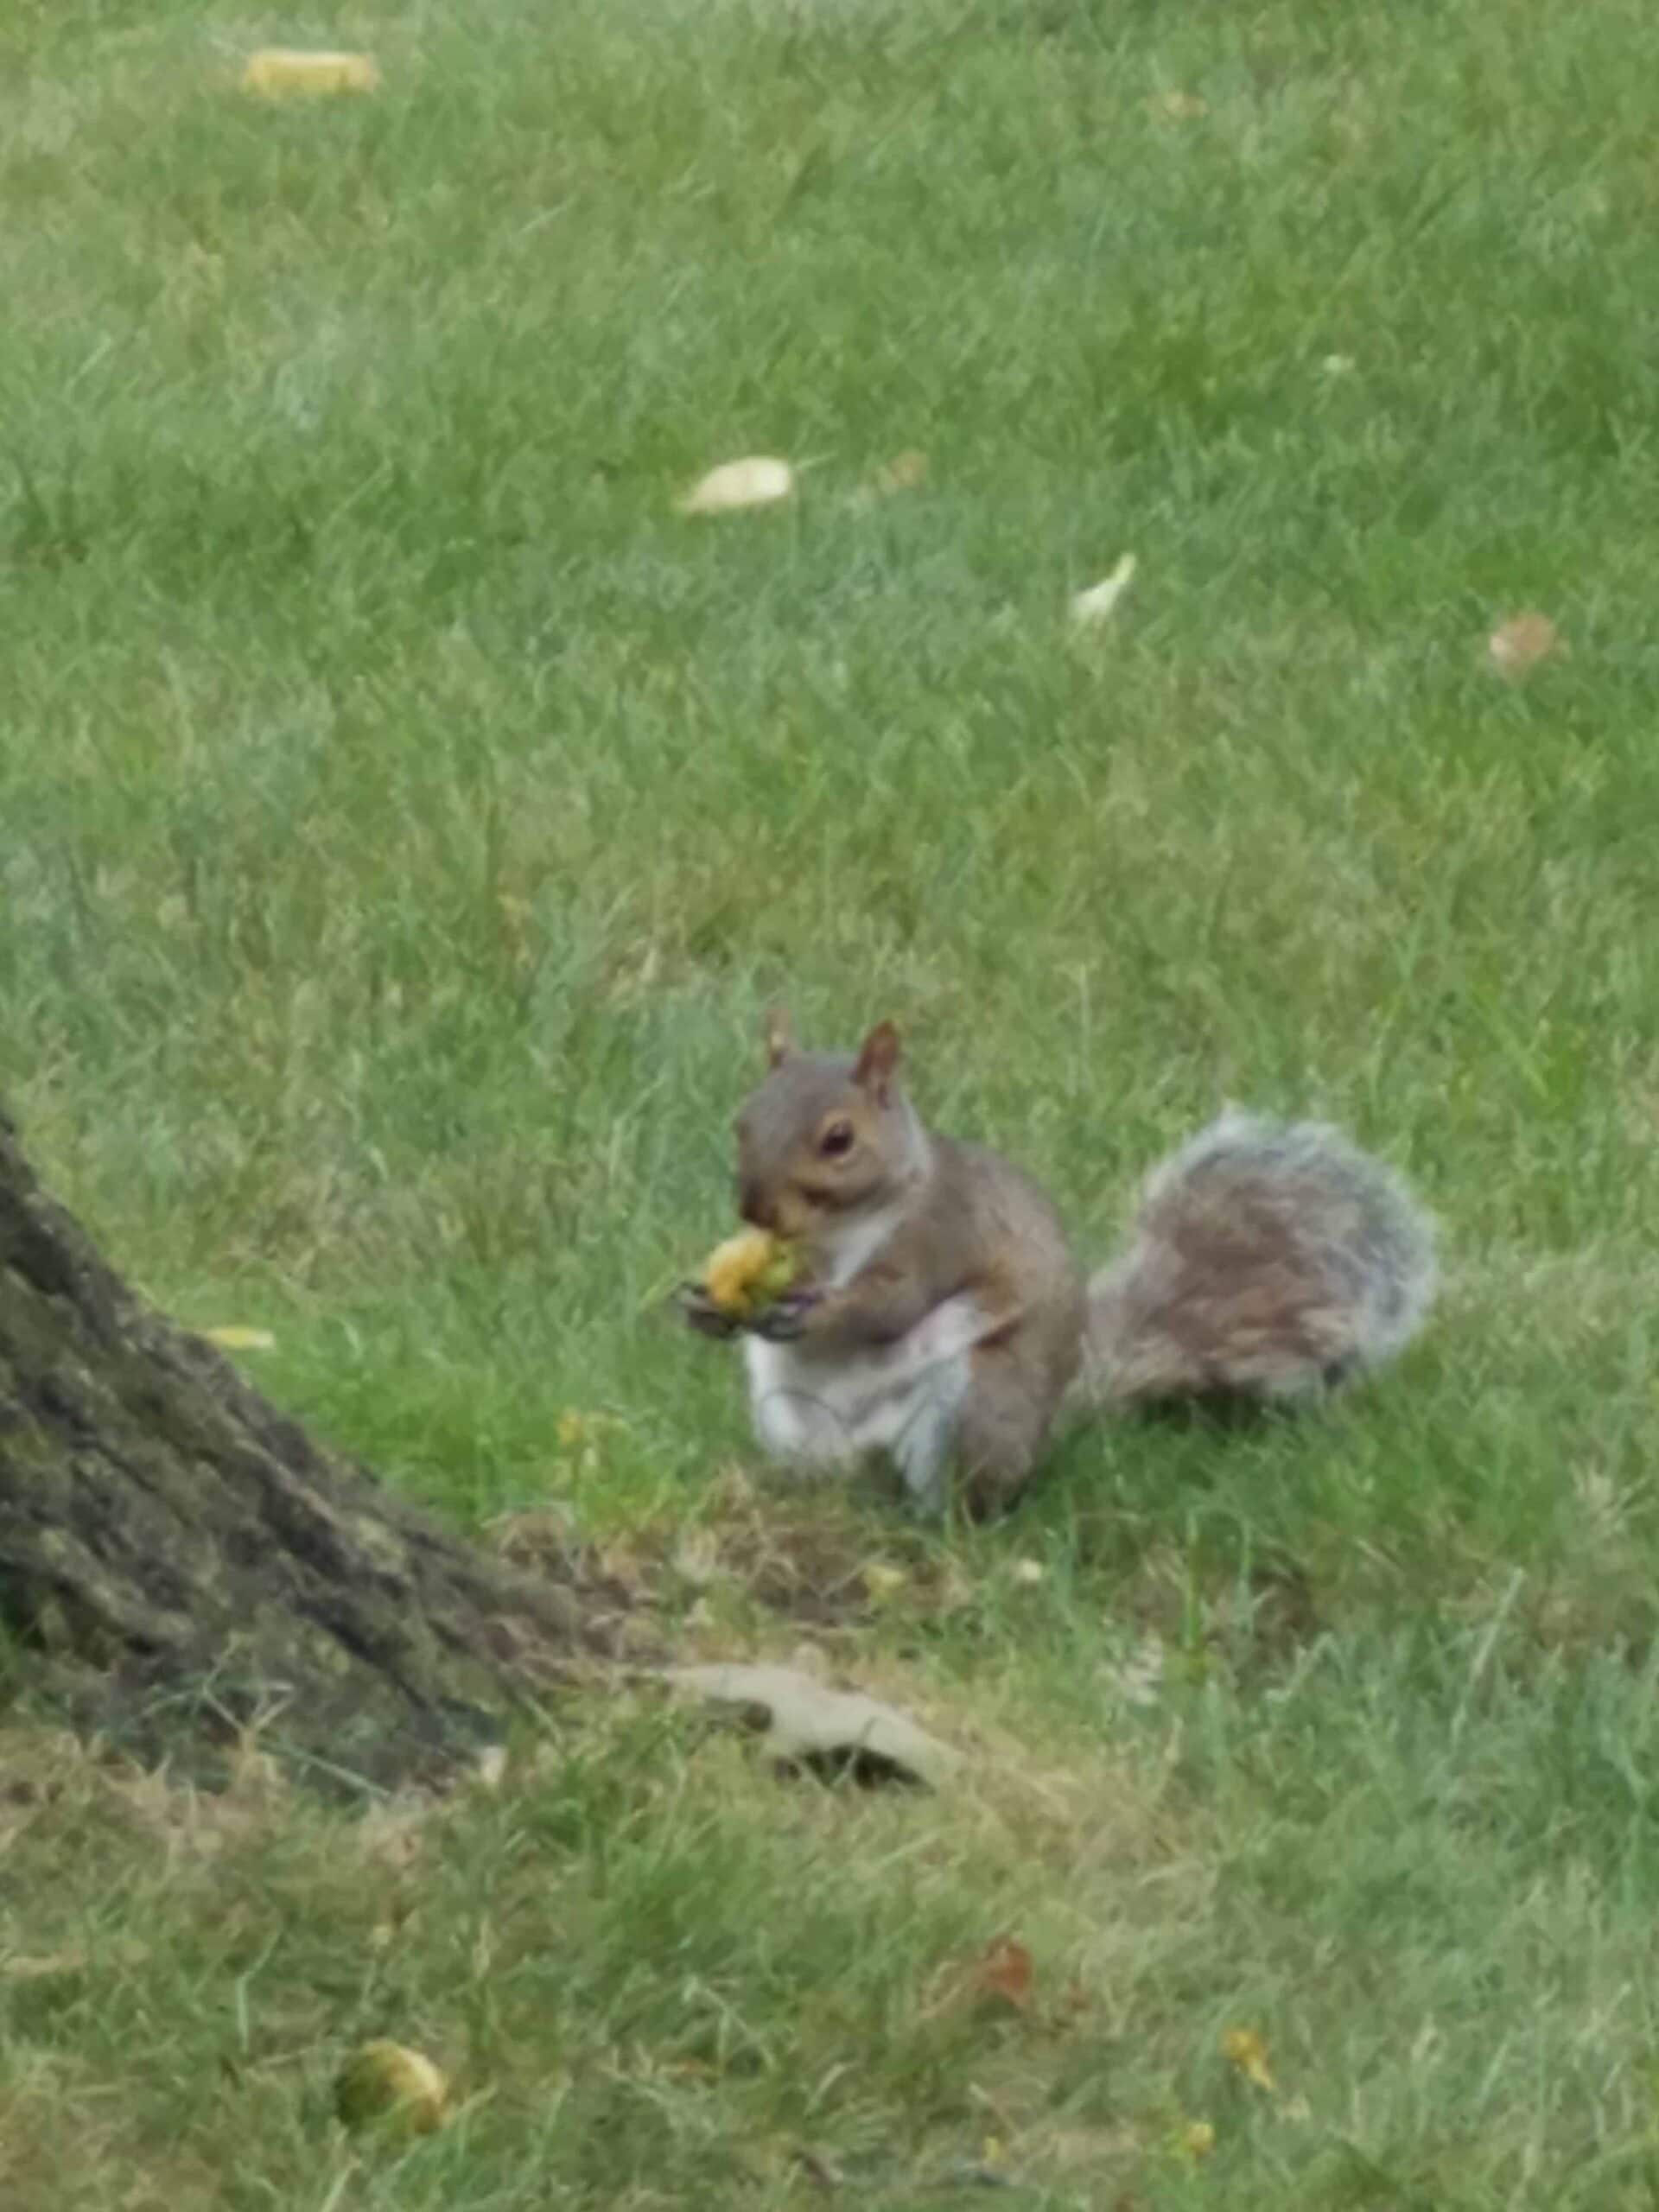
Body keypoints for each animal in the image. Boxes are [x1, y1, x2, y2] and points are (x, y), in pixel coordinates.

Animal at [680, 1012, 1437, 1518]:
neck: (842, 1229)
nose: (754, 1210)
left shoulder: (943, 1234)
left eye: (839, 1140)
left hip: (972, 1402)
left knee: (957, 1499)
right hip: (785, 1411)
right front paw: (704, 1303)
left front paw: (819, 1311)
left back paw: (923, 1522)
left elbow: (889, 1304)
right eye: (744, 1120)